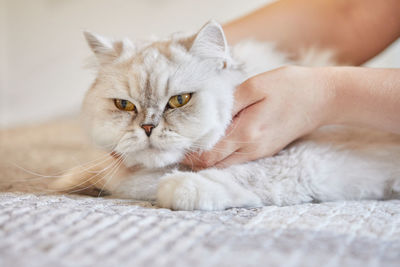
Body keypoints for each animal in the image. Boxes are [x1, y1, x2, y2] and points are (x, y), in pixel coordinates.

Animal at [52, 21, 400, 211]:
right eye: (124, 106)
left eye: (179, 100)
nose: (148, 127)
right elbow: (97, 171)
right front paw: (69, 181)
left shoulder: (306, 158)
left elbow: (248, 175)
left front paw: (176, 188)